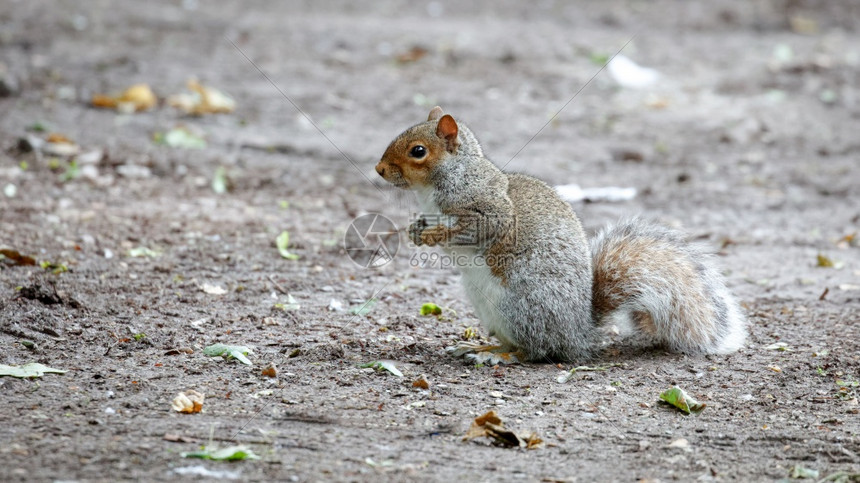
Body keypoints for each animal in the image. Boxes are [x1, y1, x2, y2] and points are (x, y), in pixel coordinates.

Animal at [376, 106, 744, 364]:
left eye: (418, 151)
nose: (378, 170)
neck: (438, 185)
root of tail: (578, 333)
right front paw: (415, 231)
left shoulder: (490, 210)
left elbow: (480, 227)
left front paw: (435, 235)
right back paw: (482, 346)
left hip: (521, 307)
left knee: (536, 350)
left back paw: (502, 356)